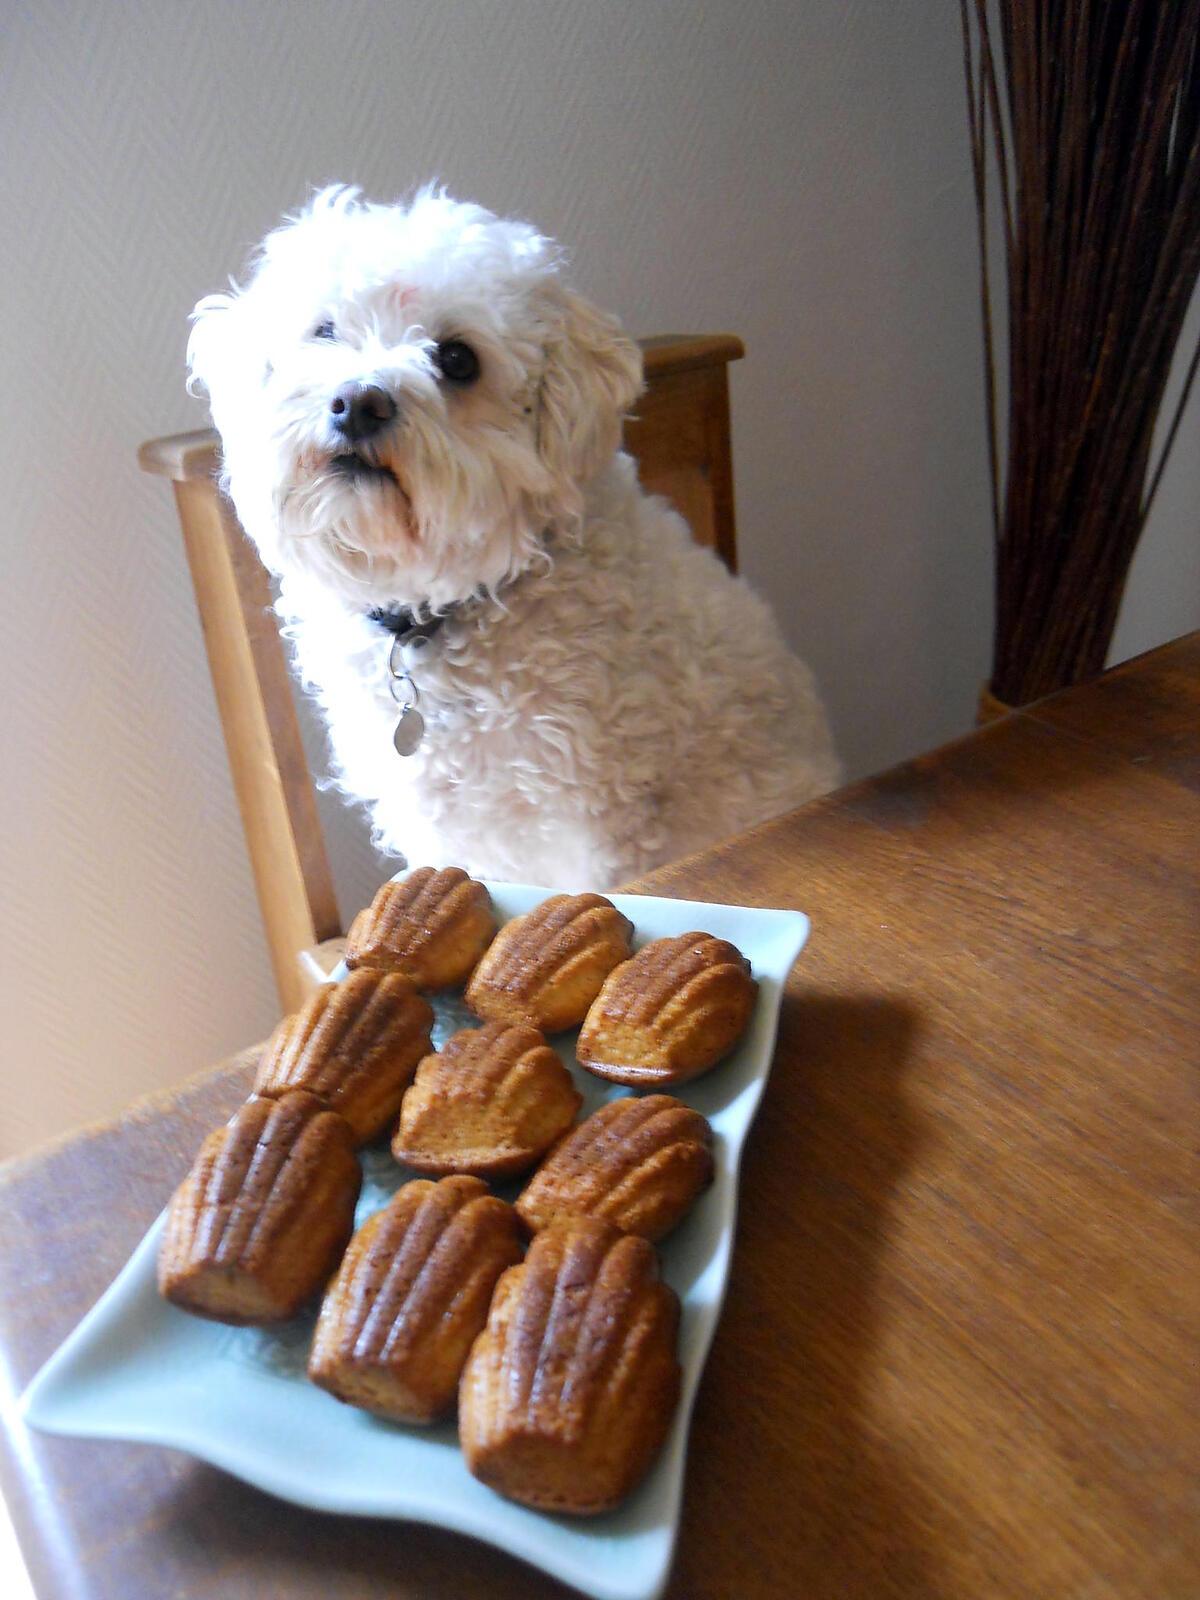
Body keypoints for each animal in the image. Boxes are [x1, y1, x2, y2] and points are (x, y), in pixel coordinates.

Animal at [190, 190, 844, 889]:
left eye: (457, 359)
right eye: (325, 331)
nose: (359, 403)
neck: (446, 612)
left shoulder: (593, 819)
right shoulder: (441, 826)